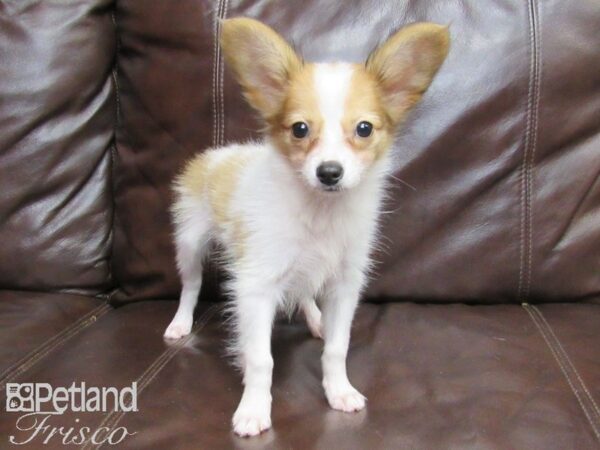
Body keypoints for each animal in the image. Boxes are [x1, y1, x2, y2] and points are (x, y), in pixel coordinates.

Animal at [165, 17, 450, 436]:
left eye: (364, 129)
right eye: (299, 129)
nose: (329, 172)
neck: (321, 213)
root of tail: (217, 153)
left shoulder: (345, 284)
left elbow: (337, 348)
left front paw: (339, 390)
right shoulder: (256, 286)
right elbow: (260, 359)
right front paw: (254, 409)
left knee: (303, 293)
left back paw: (316, 320)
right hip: (189, 240)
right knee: (192, 284)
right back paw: (181, 323)